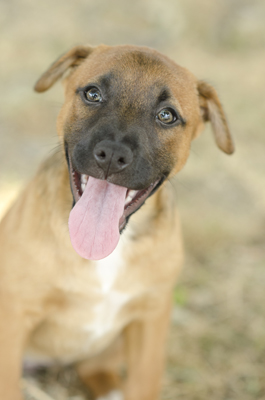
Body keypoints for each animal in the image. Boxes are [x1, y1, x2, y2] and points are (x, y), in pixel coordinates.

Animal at [0, 44, 233, 400]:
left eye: (167, 115)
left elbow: (145, 383)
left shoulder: (151, 318)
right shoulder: (14, 315)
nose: (111, 154)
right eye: (93, 94)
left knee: (95, 369)